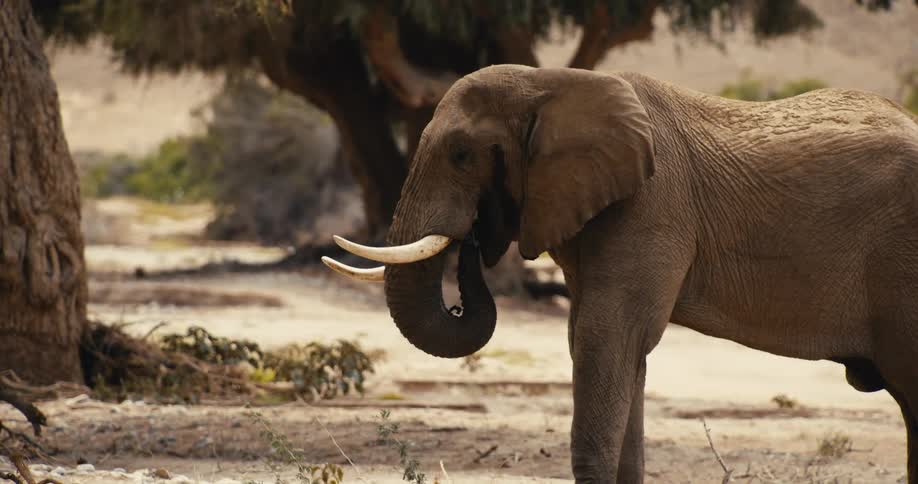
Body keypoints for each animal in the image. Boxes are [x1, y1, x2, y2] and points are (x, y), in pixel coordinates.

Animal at [322, 64, 918, 483]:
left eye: (463, 154)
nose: (474, 237)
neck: (552, 83)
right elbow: (611, 347)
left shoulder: (651, 205)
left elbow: (607, 336)